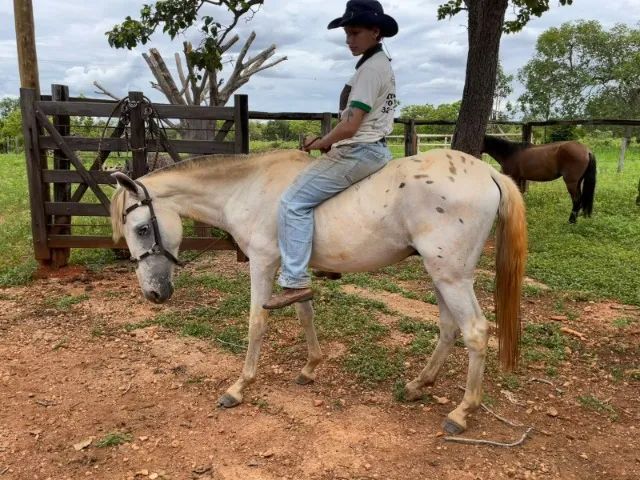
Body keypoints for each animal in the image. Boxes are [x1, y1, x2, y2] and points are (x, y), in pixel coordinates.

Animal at [110, 148, 527, 434]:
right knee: (448, 328)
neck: (249, 186)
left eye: (142, 229)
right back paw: (418, 385)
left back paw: (462, 412)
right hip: (440, 275)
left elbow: (257, 322)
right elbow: (304, 311)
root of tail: (490, 173)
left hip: (451, 277)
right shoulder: (294, 268)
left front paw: (240, 386)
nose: (154, 294)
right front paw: (310, 368)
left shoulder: (263, 263)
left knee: (475, 332)